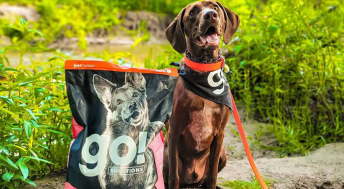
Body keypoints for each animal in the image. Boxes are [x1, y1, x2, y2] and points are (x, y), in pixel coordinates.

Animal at [162, 0, 238, 188]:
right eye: (193, 12)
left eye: (215, 7)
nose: (211, 15)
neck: (204, 67)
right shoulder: (174, 132)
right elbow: (174, 177)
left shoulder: (219, 135)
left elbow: (212, 176)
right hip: (166, 153)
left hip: (223, 153)